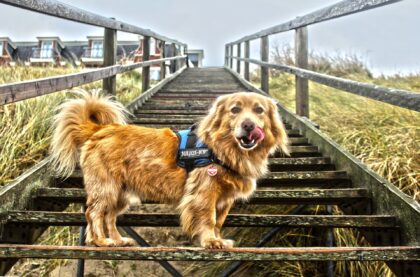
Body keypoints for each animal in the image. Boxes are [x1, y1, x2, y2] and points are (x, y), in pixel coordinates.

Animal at [50, 89, 288, 248]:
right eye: (235, 110)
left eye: (259, 110)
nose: (249, 125)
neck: (225, 149)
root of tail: (101, 130)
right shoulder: (204, 192)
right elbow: (209, 219)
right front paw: (210, 241)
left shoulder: (225, 200)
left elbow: (219, 222)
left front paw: (218, 238)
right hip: (106, 188)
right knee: (94, 214)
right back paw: (101, 241)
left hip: (121, 194)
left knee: (109, 217)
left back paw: (118, 240)